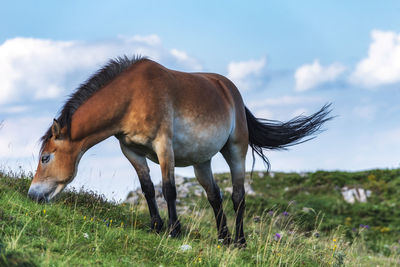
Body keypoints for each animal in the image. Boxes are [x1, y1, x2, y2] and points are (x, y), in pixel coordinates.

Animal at [28, 55, 332, 248]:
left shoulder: (164, 146)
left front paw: (174, 230)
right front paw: (155, 226)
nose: (32, 194)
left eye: (46, 157)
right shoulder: (131, 150)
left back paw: (240, 241)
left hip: (236, 150)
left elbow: (169, 189)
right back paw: (223, 238)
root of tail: (230, 91)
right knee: (215, 196)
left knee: (238, 196)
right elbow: (148, 189)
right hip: (202, 161)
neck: (131, 97)